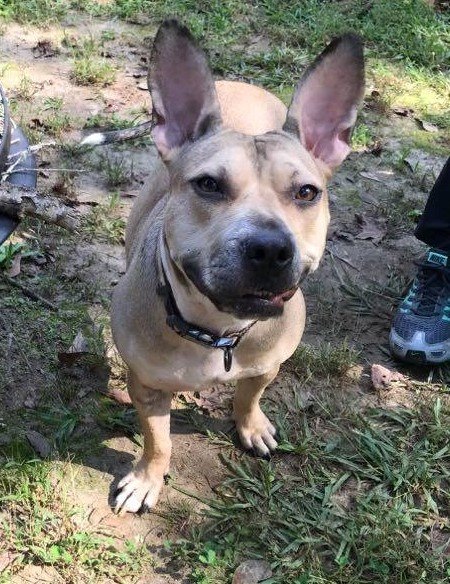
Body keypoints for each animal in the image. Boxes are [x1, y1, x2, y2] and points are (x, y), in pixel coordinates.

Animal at [106, 19, 366, 512]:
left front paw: (251, 425)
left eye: (307, 193)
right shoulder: (145, 386)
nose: (269, 248)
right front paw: (147, 478)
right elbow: (158, 440)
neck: (217, 331)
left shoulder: (267, 364)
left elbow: (249, 395)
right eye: (209, 185)